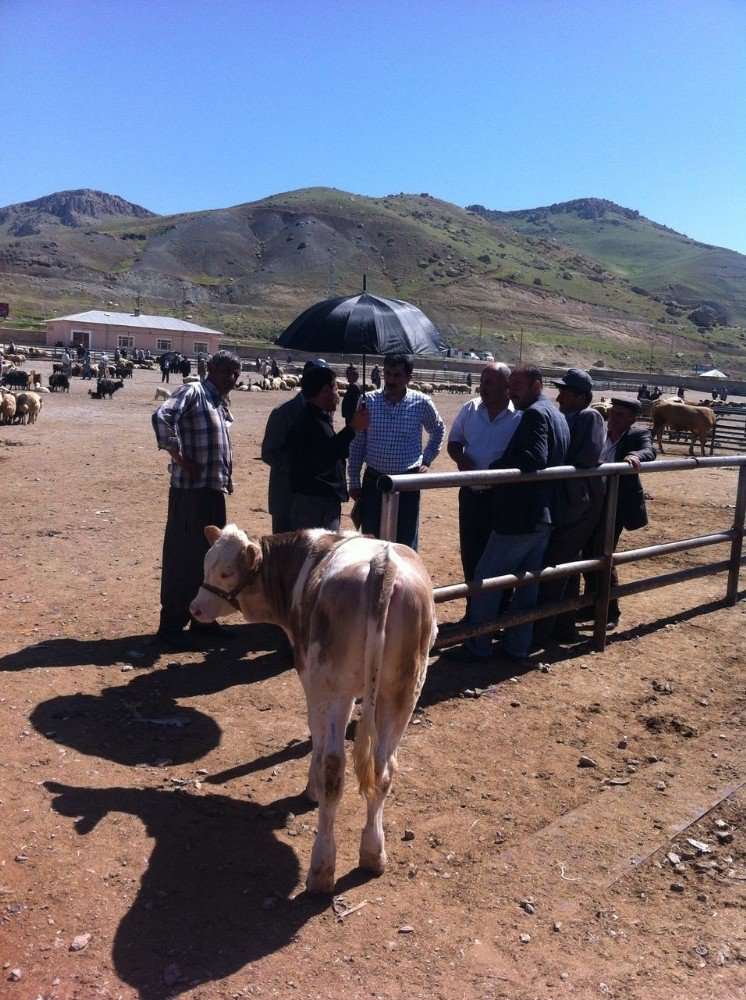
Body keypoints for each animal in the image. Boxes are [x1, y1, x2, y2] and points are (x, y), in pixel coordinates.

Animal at [189, 528, 438, 896]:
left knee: (335, 768)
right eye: (207, 565)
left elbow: (317, 740)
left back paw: (321, 870)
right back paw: (373, 853)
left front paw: (310, 791)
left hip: (333, 684)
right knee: (383, 768)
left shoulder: (310, 677)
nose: (195, 607)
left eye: (225, 573)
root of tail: (384, 563)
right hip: (404, 689)